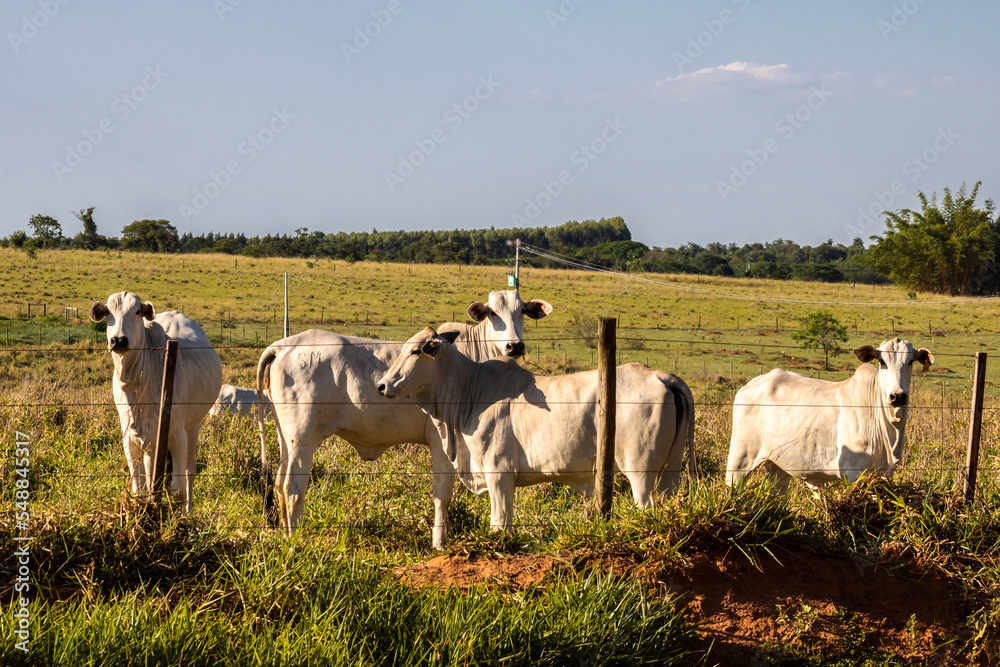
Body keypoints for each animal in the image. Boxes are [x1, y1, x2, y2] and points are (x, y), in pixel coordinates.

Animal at [90, 291, 222, 511]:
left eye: (137, 311)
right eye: (108, 312)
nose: (118, 340)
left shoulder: (177, 435)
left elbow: (178, 490)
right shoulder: (130, 438)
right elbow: (139, 489)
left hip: (193, 426)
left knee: (189, 470)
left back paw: (188, 511)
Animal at [256, 290, 552, 548]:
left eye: (521, 311)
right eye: (492, 312)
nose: (514, 345)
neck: (472, 369)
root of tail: (283, 346)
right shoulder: (442, 442)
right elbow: (442, 494)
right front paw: (440, 544)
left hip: (286, 439)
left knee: (280, 484)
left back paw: (286, 535)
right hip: (303, 439)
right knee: (293, 487)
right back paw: (295, 541)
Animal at [375, 327, 696, 535]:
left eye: (416, 351)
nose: (382, 385)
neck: (472, 390)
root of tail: (662, 376)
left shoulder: (498, 473)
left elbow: (499, 523)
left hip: (640, 471)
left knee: (646, 506)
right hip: (670, 472)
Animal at [726, 338, 933, 493]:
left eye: (911, 361)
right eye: (882, 361)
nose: (897, 396)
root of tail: (748, 385)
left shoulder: (884, 474)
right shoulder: (854, 473)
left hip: (778, 466)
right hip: (739, 459)